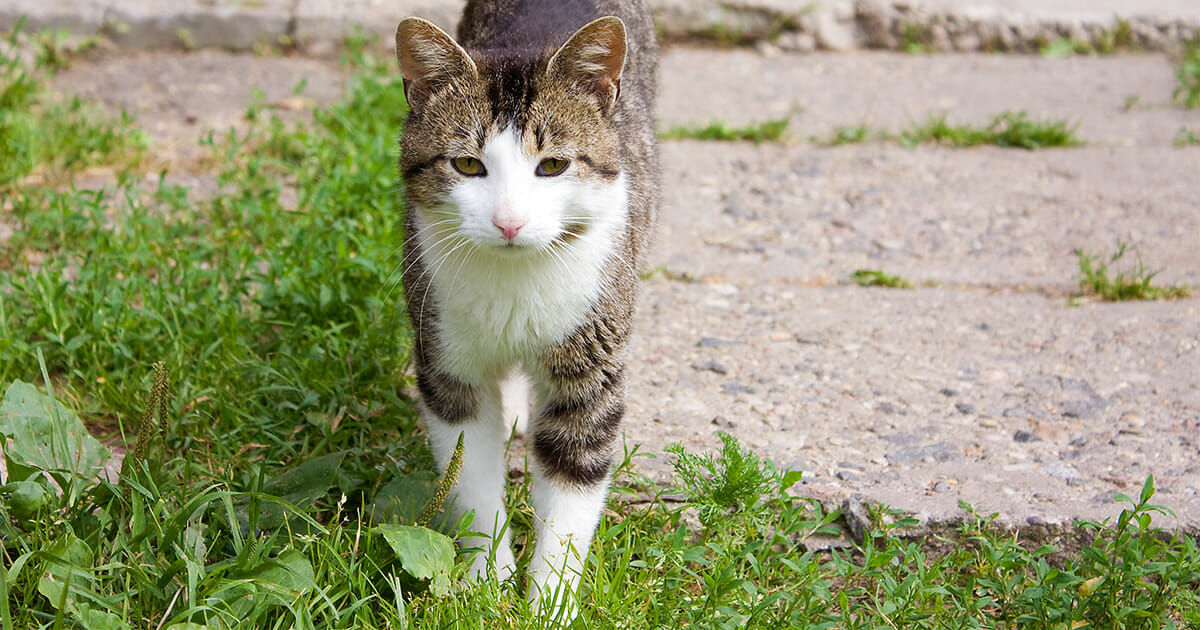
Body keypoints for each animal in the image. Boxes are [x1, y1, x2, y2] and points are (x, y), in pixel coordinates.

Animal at [393, 0, 662, 614]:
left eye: (554, 166)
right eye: (468, 166)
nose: (509, 222)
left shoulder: (592, 367)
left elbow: (572, 484)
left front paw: (549, 602)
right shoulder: (444, 357)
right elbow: (469, 474)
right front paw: (486, 584)